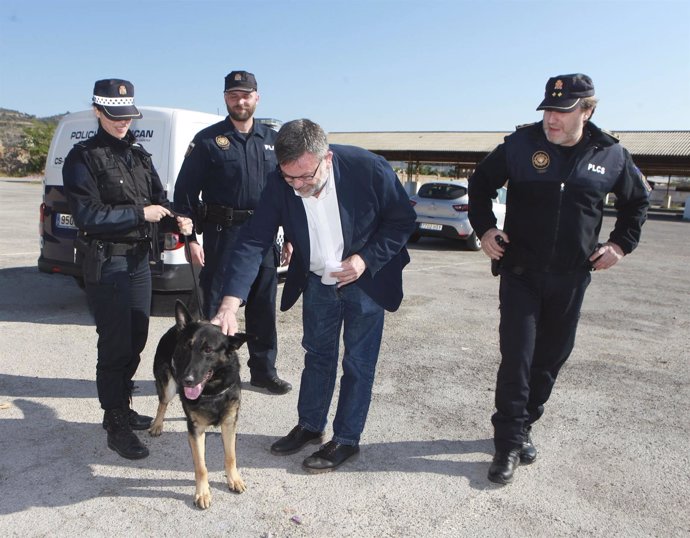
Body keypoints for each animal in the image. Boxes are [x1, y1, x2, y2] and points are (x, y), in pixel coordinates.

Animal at [149, 300, 251, 508]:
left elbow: (231, 456)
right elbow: (201, 466)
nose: (187, 380)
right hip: (168, 387)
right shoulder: (196, 430)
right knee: (162, 403)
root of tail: (176, 327)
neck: (211, 390)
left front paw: (234, 479)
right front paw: (202, 493)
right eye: (186, 347)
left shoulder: (229, 423)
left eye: (208, 350)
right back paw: (157, 424)